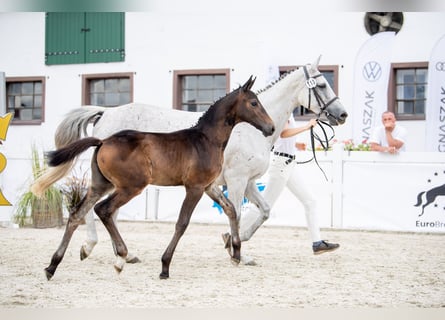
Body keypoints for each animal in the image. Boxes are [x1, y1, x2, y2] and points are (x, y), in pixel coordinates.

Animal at [33, 56, 346, 264]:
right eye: (321, 84)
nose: (342, 115)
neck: (245, 127)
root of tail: (105, 113)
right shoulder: (236, 180)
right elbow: (237, 212)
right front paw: (235, 249)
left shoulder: (247, 183)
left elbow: (264, 211)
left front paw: (234, 242)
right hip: (121, 182)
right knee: (96, 210)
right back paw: (92, 248)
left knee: (102, 210)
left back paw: (122, 254)